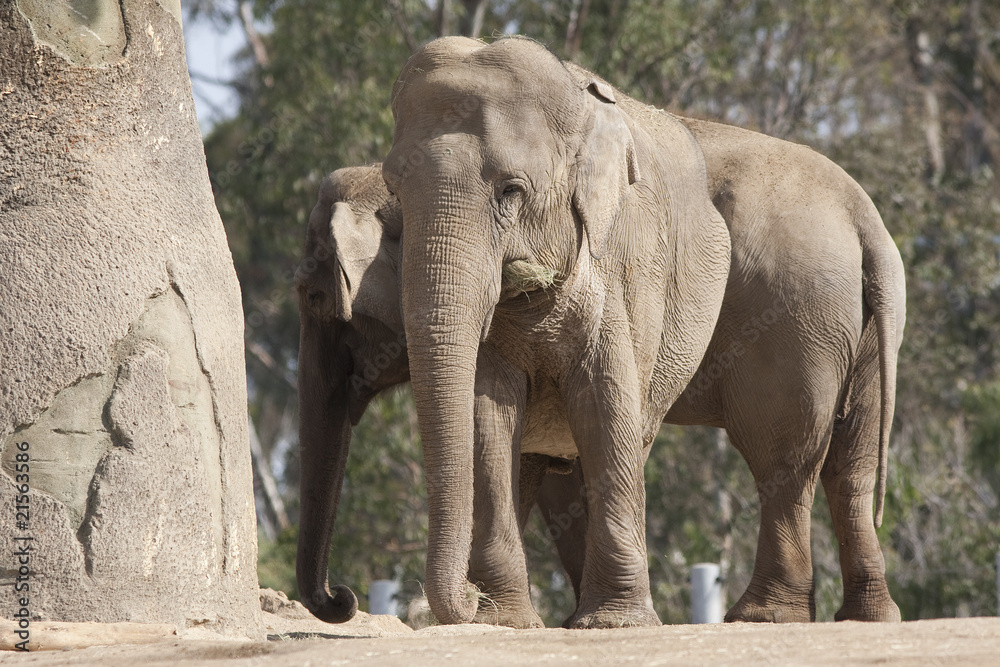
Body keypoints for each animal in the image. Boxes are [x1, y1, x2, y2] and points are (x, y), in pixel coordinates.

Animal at [382, 36, 732, 629]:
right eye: (395, 193)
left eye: (511, 191)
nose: (466, 602)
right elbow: (487, 411)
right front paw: (503, 620)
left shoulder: (621, 268)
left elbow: (606, 403)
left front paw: (615, 622)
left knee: (629, 438)